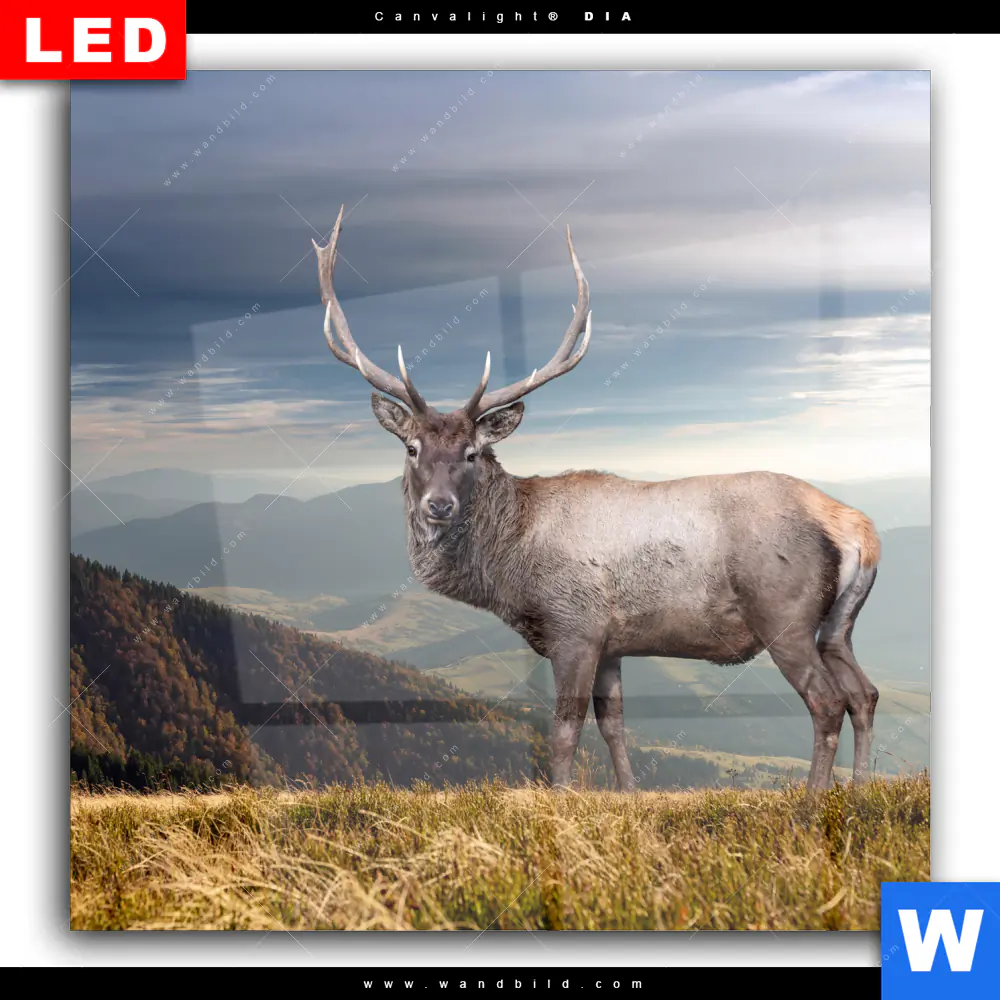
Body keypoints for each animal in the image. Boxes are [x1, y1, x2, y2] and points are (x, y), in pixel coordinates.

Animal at [312, 206, 881, 792]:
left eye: (472, 452)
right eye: (411, 447)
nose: (439, 506)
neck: (511, 567)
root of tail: (858, 530)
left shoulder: (576, 628)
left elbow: (565, 730)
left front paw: (560, 797)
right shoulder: (612, 642)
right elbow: (614, 725)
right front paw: (629, 793)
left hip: (784, 614)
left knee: (827, 702)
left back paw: (814, 796)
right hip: (839, 624)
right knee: (864, 693)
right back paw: (860, 787)